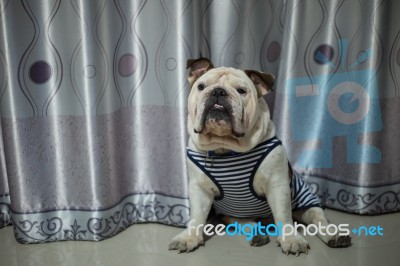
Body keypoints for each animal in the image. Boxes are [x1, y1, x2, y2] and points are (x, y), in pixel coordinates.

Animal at [169, 58, 350, 256]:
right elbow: (197, 217)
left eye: (241, 90)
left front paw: (291, 239)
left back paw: (334, 234)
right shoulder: (199, 190)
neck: (226, 148)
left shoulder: (277, 186)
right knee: (243, 222)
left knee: (318, 219)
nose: (218, 91)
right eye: (201, 86)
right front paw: (189, 238)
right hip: (230, 212)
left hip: (306, 200)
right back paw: (255, 232)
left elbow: (284, 216)